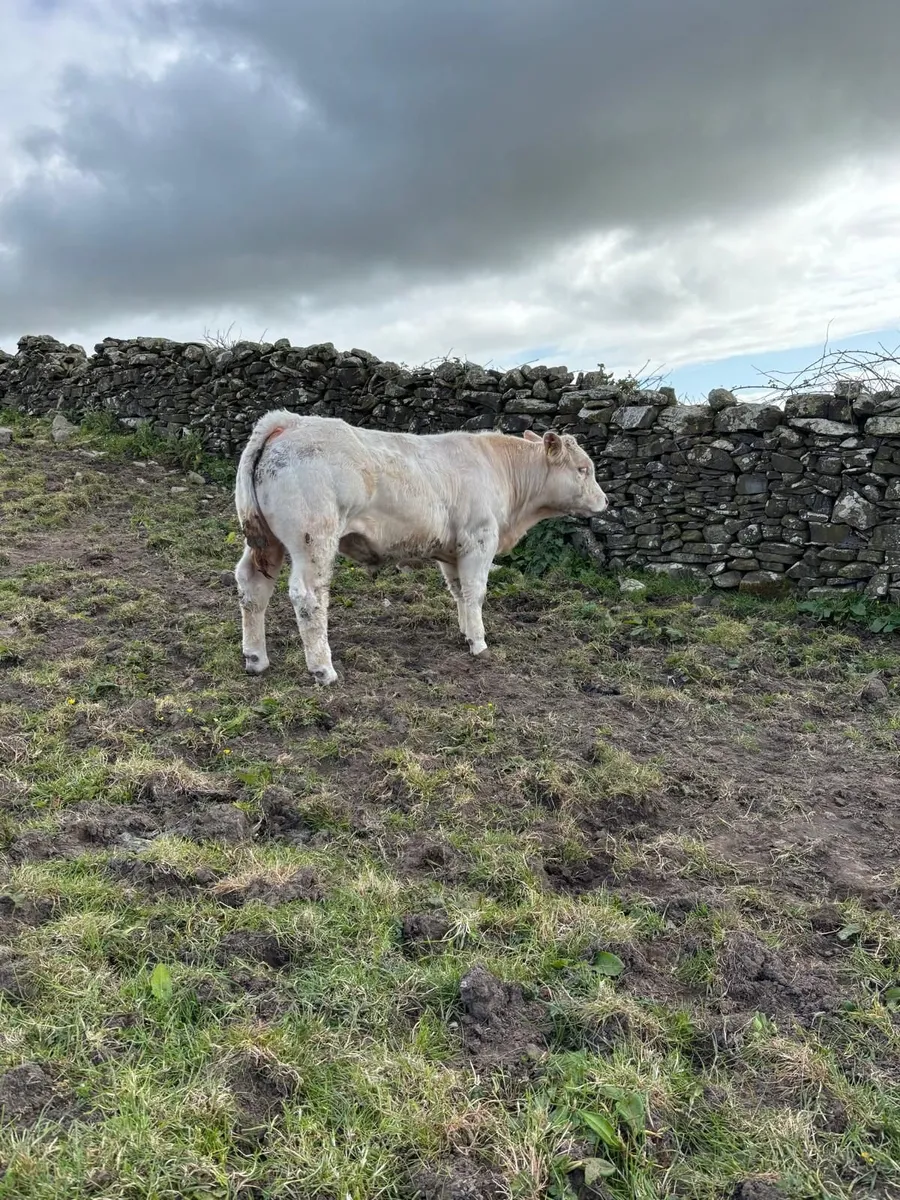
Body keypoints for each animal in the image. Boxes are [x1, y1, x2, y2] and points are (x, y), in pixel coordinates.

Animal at [233, 410, 608, 684]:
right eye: (582, 469)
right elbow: (476, 592)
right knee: (308, 597)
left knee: (252, 586)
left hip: (266, 541)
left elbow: (459, 592)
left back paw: (256, 658)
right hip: (314, 539)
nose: (604, 501)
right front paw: (480, 643)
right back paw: (323, 670)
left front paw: (465, 631)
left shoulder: (453, 549)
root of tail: (289, 421)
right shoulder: (479, 539)